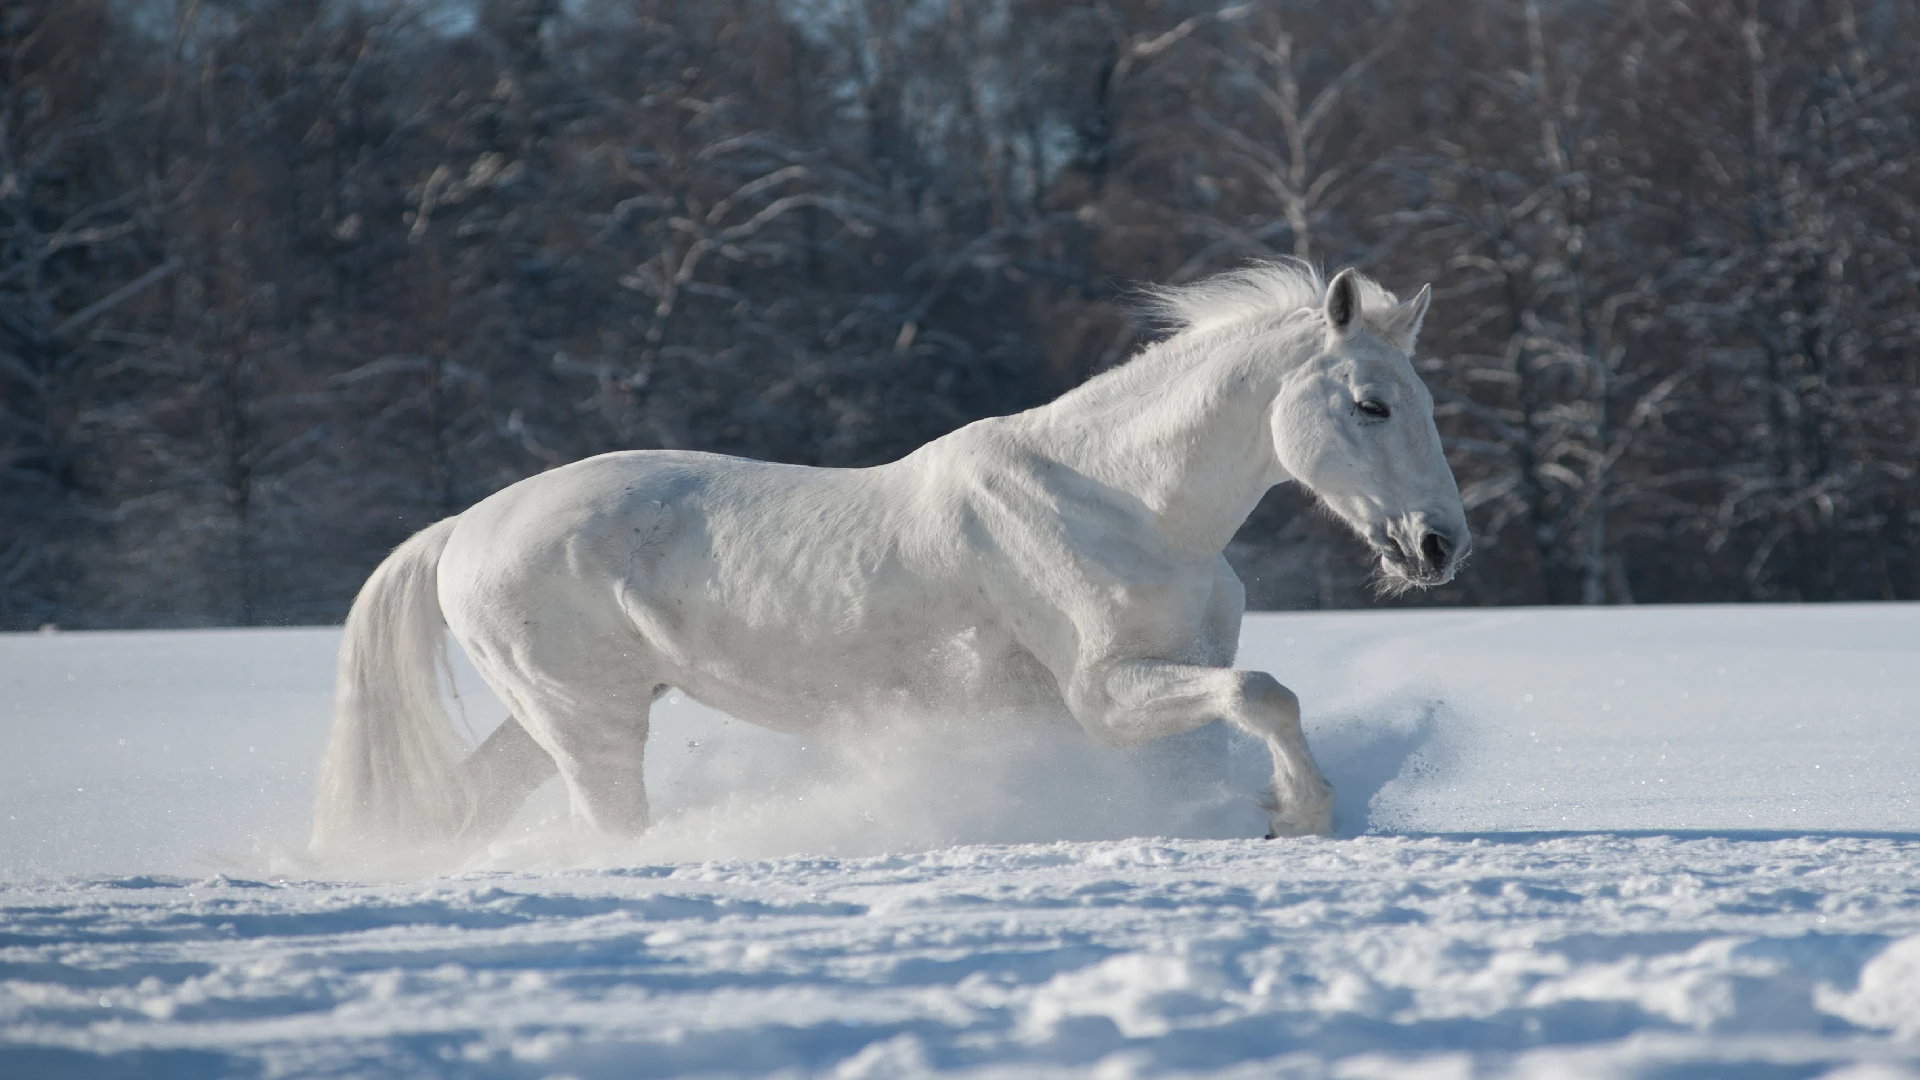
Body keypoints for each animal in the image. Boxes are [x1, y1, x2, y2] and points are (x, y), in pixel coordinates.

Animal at [307, 265, 1459, 853]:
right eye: (1371, 402)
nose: (1439, 545)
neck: (1123, 502)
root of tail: (462, 531)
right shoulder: (1104, 692)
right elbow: (1267, 692)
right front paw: (1301, 812)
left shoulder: (1169, 677)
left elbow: (1239, 718)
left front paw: (1266, 815)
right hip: (591, 723)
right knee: (612, 831)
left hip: (559, 714)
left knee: (471, 806)